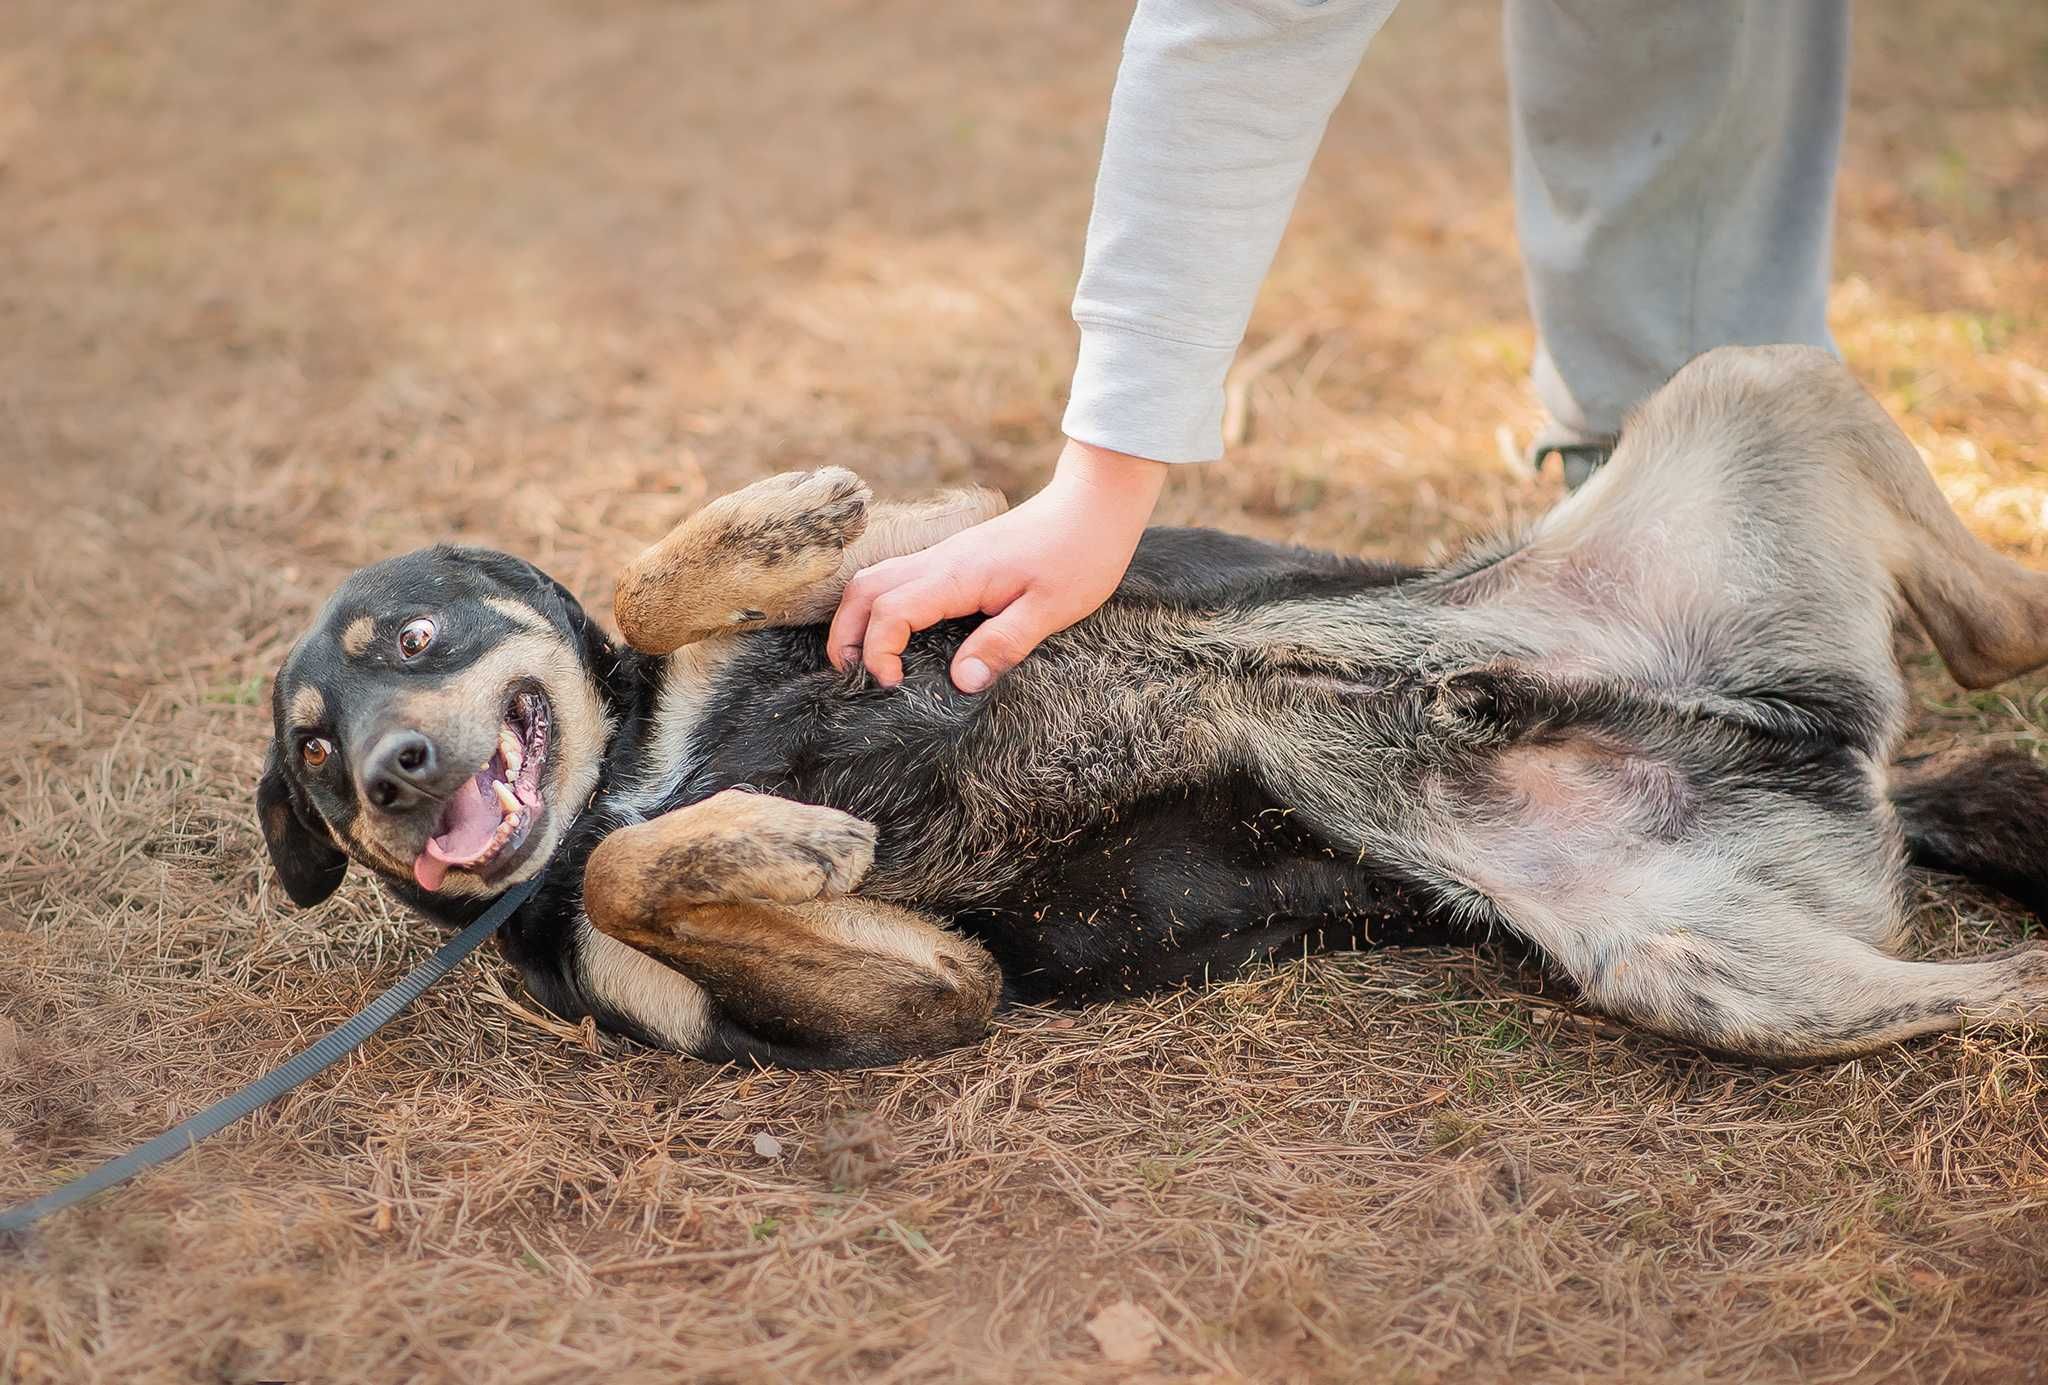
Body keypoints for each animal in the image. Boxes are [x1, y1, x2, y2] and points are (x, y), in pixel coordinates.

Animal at [256, 348, 2048, 1073]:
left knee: (2000, 623)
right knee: (1993, 974)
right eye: (314, 757)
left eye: (410, 632)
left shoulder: (946, 548)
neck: (630, 766)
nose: (397, 773)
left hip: (1752, 396)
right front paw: (781, 841)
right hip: (1688, 969)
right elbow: (654, 871)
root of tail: (1833, 762)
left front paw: (766, 524)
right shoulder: (925, 996)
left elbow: (649, 587)